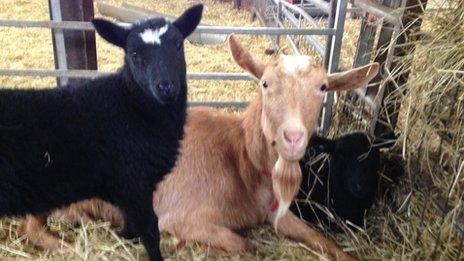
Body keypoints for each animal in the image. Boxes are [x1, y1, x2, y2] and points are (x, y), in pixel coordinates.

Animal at [20, 35, 378, 258]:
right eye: (265, 84)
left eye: (323, 88)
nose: (293, 138)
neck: (240, 160)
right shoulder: (183, 216)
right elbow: (242, 244)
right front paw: (176, 245)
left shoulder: (277, 212)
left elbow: (320, 238)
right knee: (31, 223)